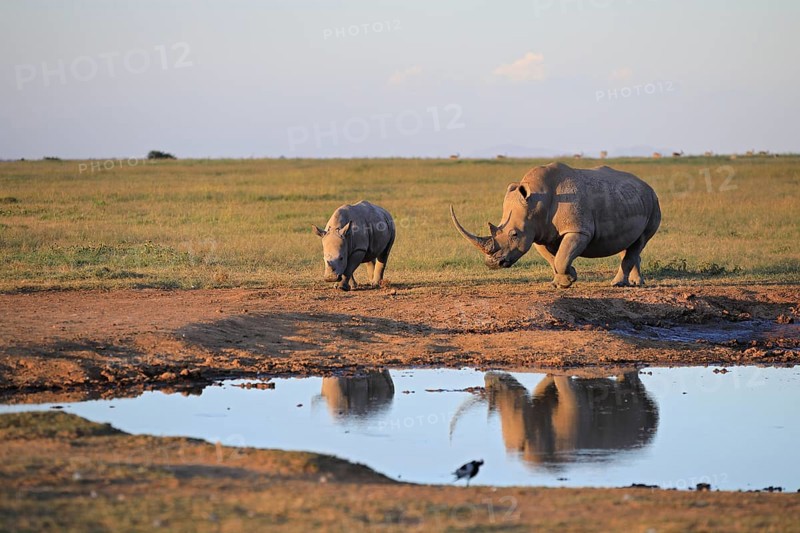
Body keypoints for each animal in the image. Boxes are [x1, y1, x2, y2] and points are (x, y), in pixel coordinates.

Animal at [450, 162, 661, 287]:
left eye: (514, 234)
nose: (493, 264)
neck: (537, 201)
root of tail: (646, 184)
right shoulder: (538, 233)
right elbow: (555, 258)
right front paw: (561, 281)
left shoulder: (578, 230)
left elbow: (562, 256)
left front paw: (568, 280)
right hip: (631, 199)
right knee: (630, 243)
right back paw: (636, 283)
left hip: (653, 201)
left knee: (640, 240)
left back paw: (617, 284)